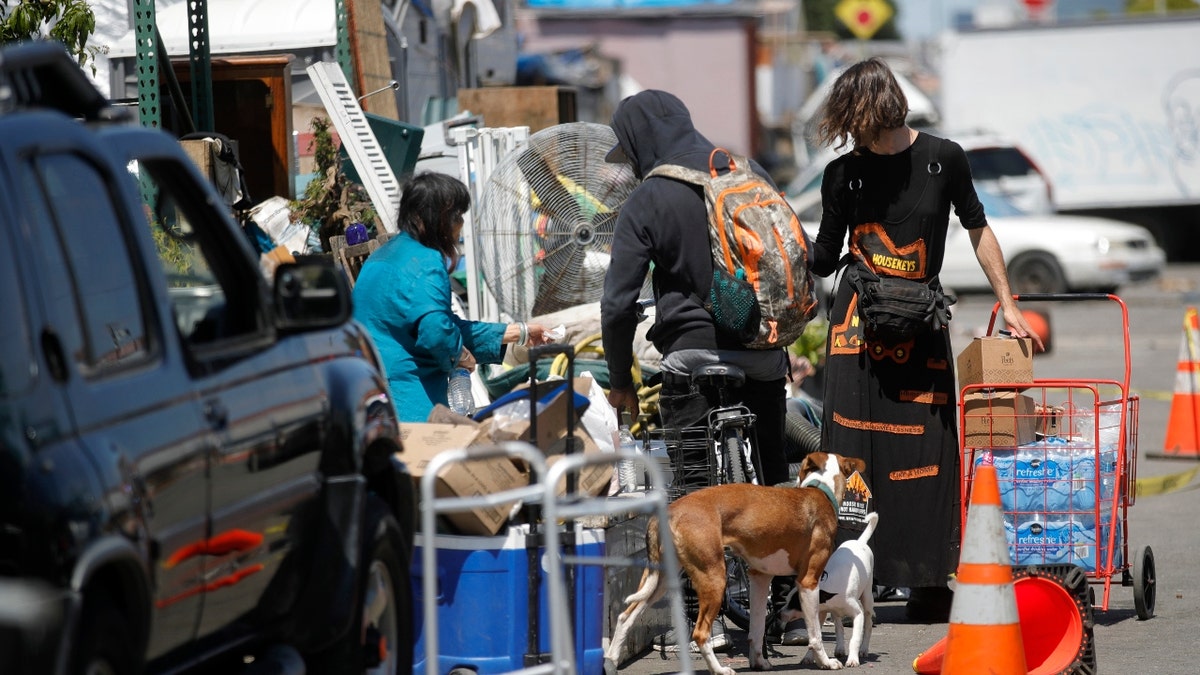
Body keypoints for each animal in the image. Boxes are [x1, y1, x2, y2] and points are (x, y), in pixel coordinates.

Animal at [609, 449, 864, 667]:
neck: (821, 490)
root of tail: (671, 509)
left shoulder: (760, 578)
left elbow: (757, 630)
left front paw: (760, 663)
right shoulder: (809, 581)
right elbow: (815, 635)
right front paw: (826, 662)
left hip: (659, 580)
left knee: (625, 617)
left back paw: (610, 660)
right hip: (714, 578)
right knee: (700, 633)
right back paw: (720, 670)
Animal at [782, 509, 878, 662]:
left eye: (796, 604)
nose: (779, 614)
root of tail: (859, 541)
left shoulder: (858, 614)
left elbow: (855, 638)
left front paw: (853, 659)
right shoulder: (820, 613)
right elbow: (817, 636)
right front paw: (809, 657)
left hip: (867, 600)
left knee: (868, 626)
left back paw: (863, 649)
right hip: (836, 614)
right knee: (839, 626)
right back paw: (839, 648)